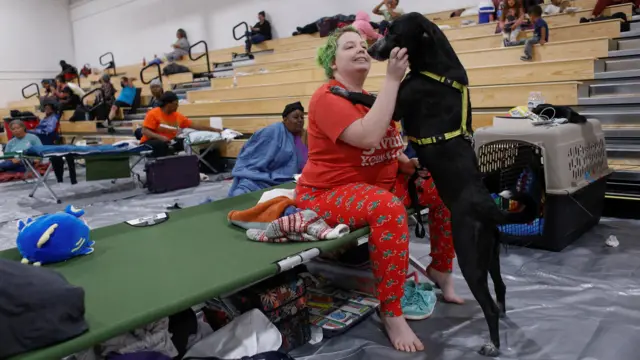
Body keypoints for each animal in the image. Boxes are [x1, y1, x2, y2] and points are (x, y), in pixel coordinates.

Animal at [364, 12, 540, 356]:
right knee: (501, 287)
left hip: (470, 256)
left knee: (488, 305)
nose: (371, 50)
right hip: (491, 254)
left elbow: (364, 96)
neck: (437, 66)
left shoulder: (397, 105)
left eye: (392, 32)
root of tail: (488, 207)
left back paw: (492, 345)